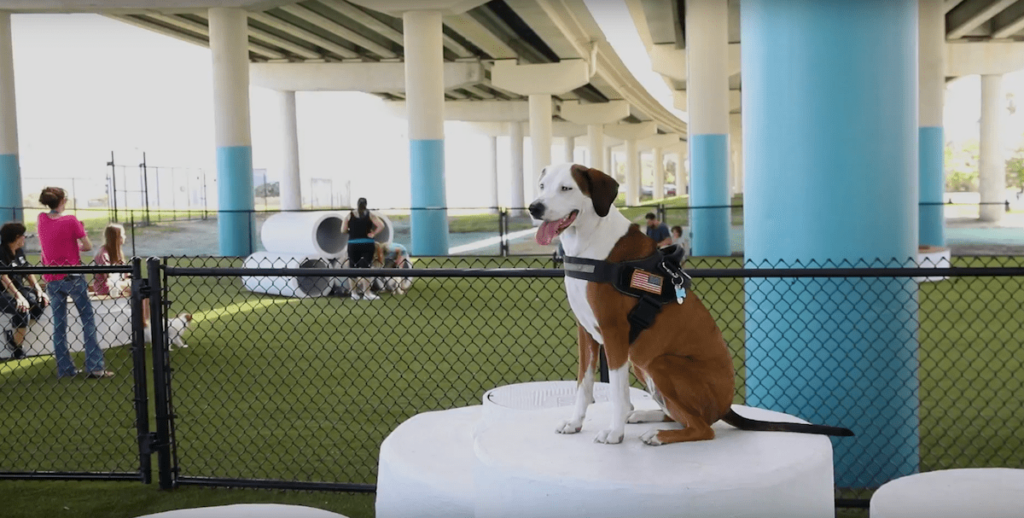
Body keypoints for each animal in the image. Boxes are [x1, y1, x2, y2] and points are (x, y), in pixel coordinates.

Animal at [532, 162, 851, 444]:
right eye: (542, 186)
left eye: (566, 188)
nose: (535, 207)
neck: (590, 243)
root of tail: (726, 406)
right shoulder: (586, 333)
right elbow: (583, 385)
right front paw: (575, 423)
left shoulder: (614, 333)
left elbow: (619, 393)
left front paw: (614, 432)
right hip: (642, 362)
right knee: (681, 415)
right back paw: (647, 417)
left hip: (660, 363)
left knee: (702, 427)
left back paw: (659, 435)